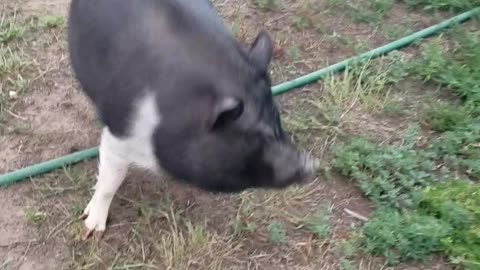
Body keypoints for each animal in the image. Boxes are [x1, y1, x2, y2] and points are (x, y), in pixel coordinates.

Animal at [67, 0, 320, 239]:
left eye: (277, 120)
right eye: (255, 136)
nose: (310, 164)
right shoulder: (119, 131)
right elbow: (111, 180)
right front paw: (91, 231)